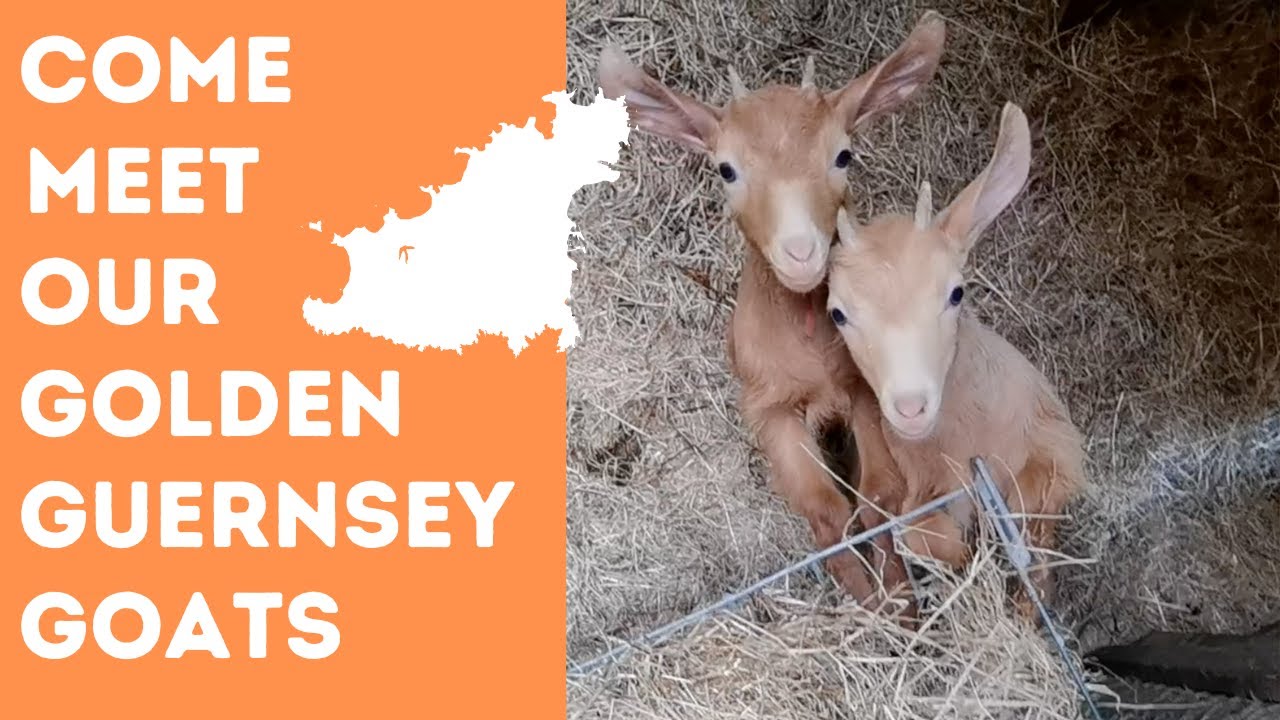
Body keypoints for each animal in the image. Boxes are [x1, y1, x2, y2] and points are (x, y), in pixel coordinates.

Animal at [596, 13, 946, 601]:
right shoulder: (769, 408)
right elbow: (826, 513)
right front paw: (867, 602)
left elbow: (877, 498)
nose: (802, 253)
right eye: (726, 169)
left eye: (843, 155)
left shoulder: (865, 392)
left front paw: (899, 603)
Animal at [824, 103, 1087, 618]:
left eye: (956, 293)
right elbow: (913, 531)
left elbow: (1035, 529)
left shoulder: (1053, 454)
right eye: (838, 313)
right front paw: (966, 559)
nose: (911, 407)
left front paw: (1026, 604)